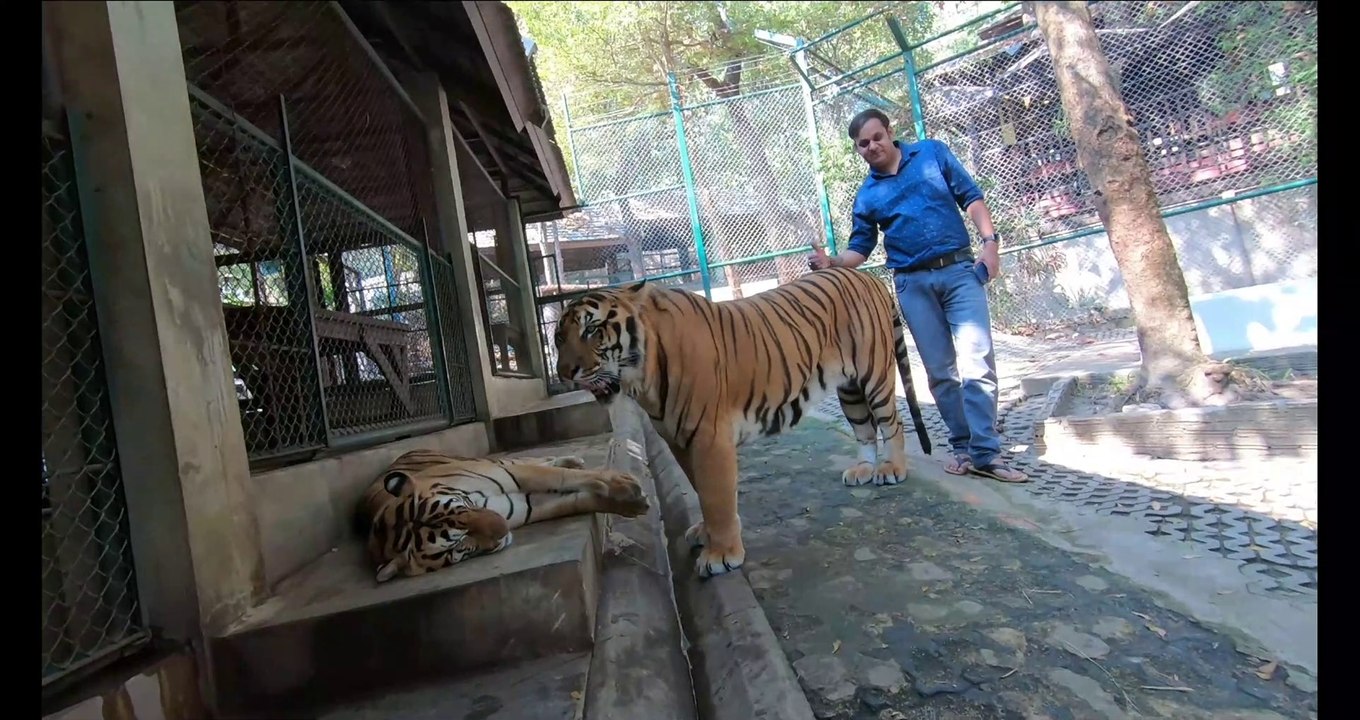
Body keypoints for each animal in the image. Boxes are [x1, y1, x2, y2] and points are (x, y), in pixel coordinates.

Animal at [354, 448, 650, 583]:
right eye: (457, 546)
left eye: (462, 509)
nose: (503, 530)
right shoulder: (523, 504)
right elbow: (575, 500)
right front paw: (631, 502)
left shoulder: (513, 475)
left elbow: (562, 477)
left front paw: (623, 484)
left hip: (493, 462)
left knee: (535, 460)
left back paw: (572, 460)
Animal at [552, 266, 931, 579]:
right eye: (558, 338)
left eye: (592, 330)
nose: (565, 373)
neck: (643, 378)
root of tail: (866, 276)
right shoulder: (678, 439)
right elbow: (703, 490)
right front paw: (708, 535)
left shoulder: (708, 435)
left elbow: (716, 495)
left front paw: (720, 555)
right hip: (849, 391)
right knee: (865, 429)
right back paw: (862, 471)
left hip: (874, 375)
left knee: (893, 423)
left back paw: (892, 470)